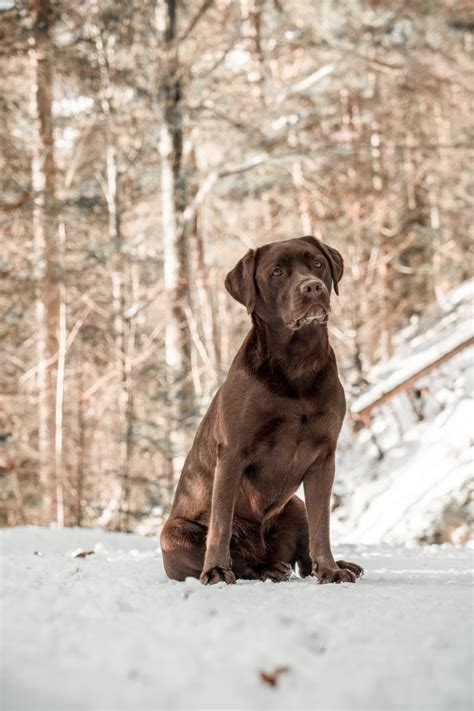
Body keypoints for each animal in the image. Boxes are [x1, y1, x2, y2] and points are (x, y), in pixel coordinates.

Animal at [159, 236, 362, 588]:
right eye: (277, 272)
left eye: (317, 263)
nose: (313, 287)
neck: (297, 364)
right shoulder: (232, 454)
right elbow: (221, 524)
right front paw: (216, 570)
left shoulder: (324, 457)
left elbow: (322, 525)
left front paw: (331, 570)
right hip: (172, 531)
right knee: (244, 562)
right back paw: (263, 569)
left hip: (294, 505)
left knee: (302, 556)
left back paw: (331, 565)